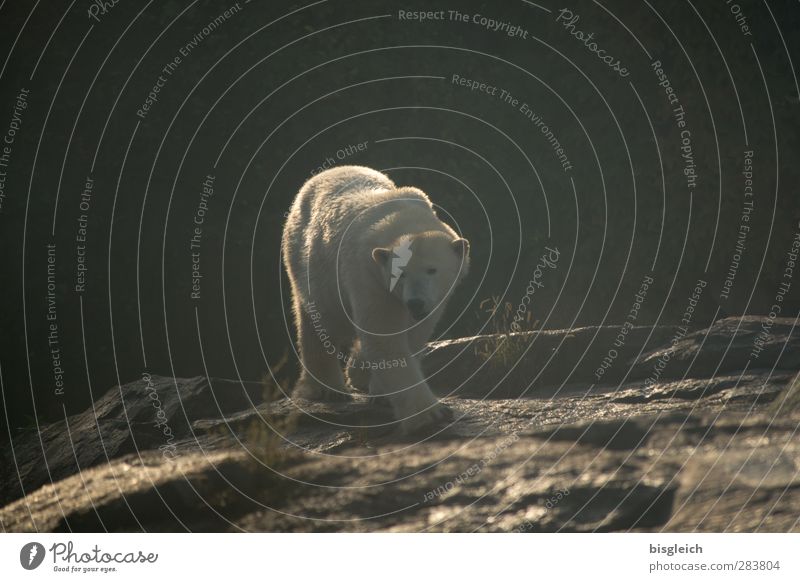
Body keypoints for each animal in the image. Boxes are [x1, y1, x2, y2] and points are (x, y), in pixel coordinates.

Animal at [282, 165, 468, 434]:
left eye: (432, 270)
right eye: (400, 274)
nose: (415, 303)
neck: (401, 218)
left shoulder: (432, 301)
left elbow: (413, 335)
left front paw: (380, 393)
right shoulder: (368, 275)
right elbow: (384, 338)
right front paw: (432, 414)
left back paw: (356, 374)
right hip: (307, 261)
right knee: (319, 321)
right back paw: (328, 389)